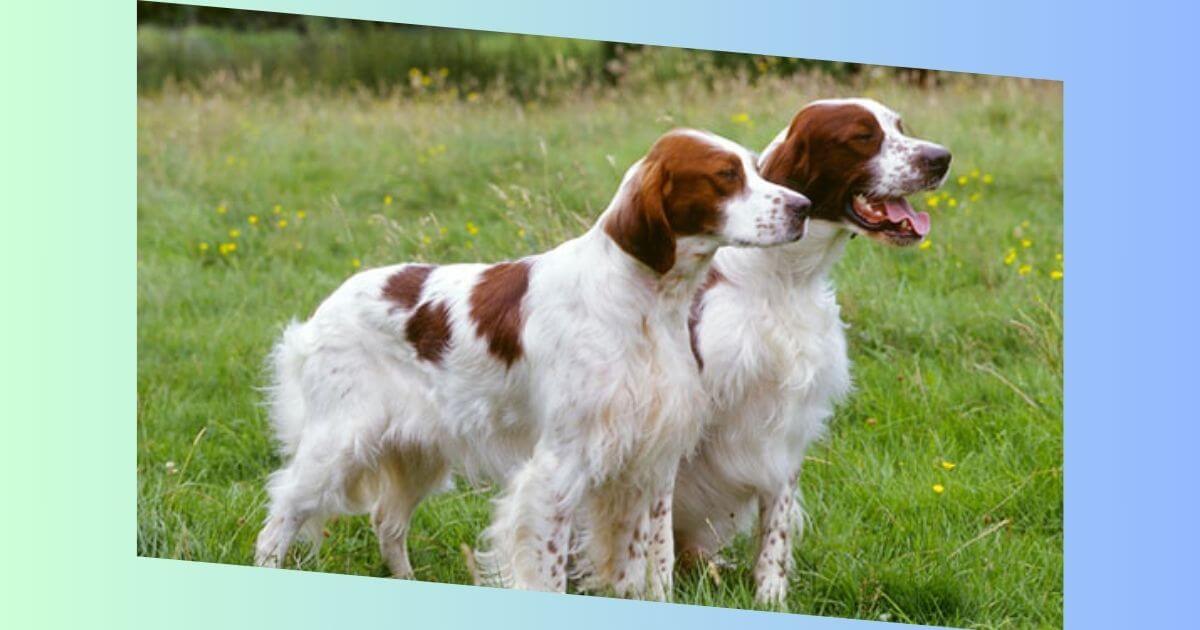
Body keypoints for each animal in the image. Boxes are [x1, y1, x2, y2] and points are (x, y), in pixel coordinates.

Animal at [256, 127, 811, 600]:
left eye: (756, 168)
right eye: (726, 175)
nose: (804, 206)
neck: (644, 302)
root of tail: (322, 311)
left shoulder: (651, 464)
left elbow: (653, 563)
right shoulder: (557, 469)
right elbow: (549, 569)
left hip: (417, 452)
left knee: (386, 521)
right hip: (337, 443)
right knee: (280, 515)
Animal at [681, 98, 950, 604]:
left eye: (899, 126)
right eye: (862, 136)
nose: (941, 158)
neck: (783, 278)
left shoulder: (788, 425)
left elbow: (775, 530)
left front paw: (770, 598)